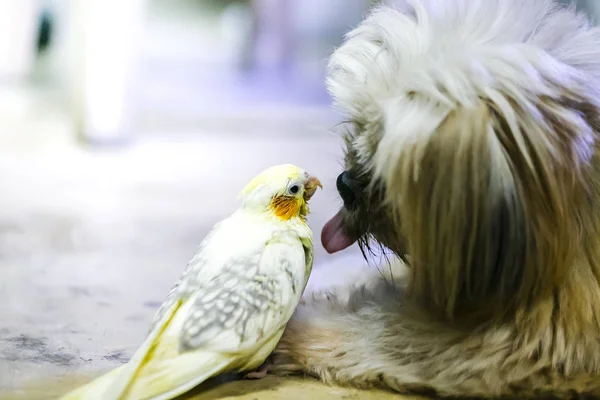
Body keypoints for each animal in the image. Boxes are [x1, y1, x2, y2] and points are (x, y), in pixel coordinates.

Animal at [270, 0, 600, 398]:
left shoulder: (531, 344)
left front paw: (297, 326)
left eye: (386, 169)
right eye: (359, 131)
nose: (345, 183)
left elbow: (377, 335)